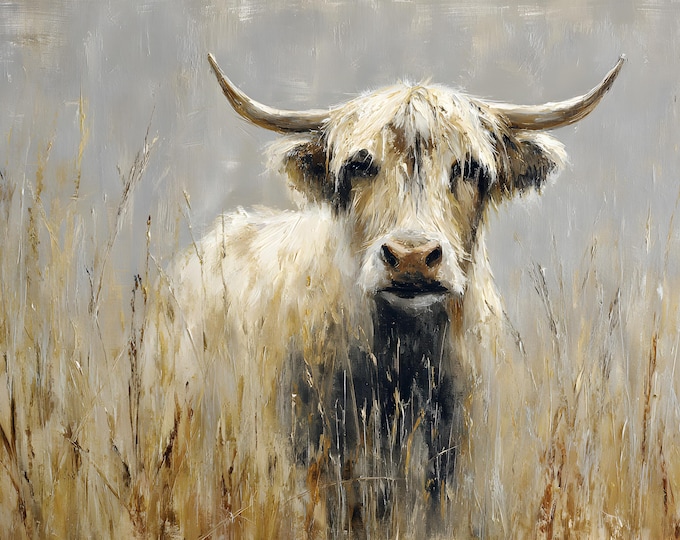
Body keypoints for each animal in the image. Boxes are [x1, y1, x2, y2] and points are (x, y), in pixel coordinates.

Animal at [141, 55, 624, 539]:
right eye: (360, 164)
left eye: (469, 168)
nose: (411, 257)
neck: (401, 358)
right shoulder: (313, 458)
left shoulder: (456, 457)